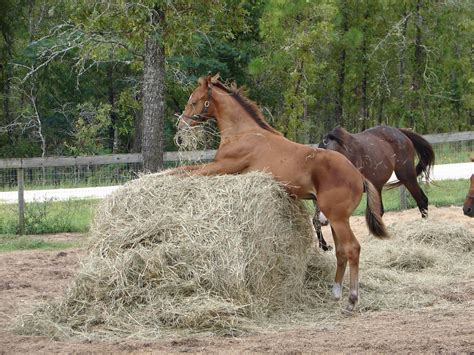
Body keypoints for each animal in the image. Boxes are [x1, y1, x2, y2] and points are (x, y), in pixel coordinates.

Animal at [174, 73, 388, 312]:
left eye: (194, 101)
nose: (181, 125)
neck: (244, 133)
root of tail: (358, 176)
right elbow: (182, 171)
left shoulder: (221, 167)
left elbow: (182, 172)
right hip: (335, 219)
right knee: (341, 252)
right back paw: (335, 293)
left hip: (338, 218)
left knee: (352, 249)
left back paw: (351, 300)